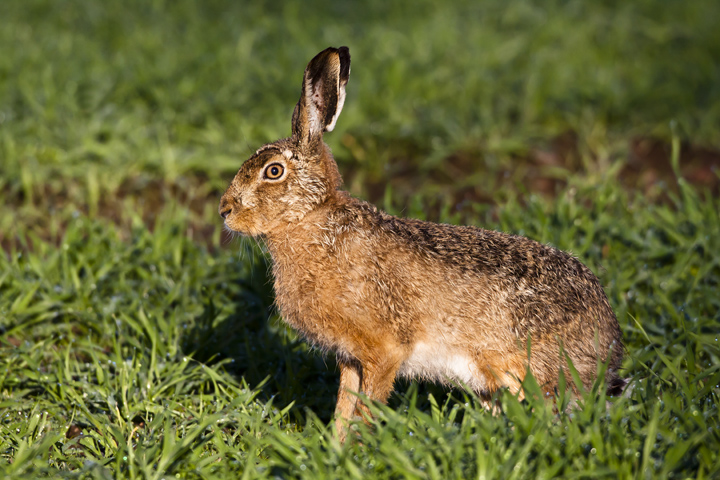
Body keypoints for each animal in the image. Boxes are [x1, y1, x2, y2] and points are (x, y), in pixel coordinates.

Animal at [219, 46, 624, 442]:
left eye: (273, 171)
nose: (224, 210)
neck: (310, 219)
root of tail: (607, 347)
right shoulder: (351, 357)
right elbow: (344, 407)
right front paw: (335, 447)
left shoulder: (384, 350)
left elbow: (366, 408)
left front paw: (357, 449)